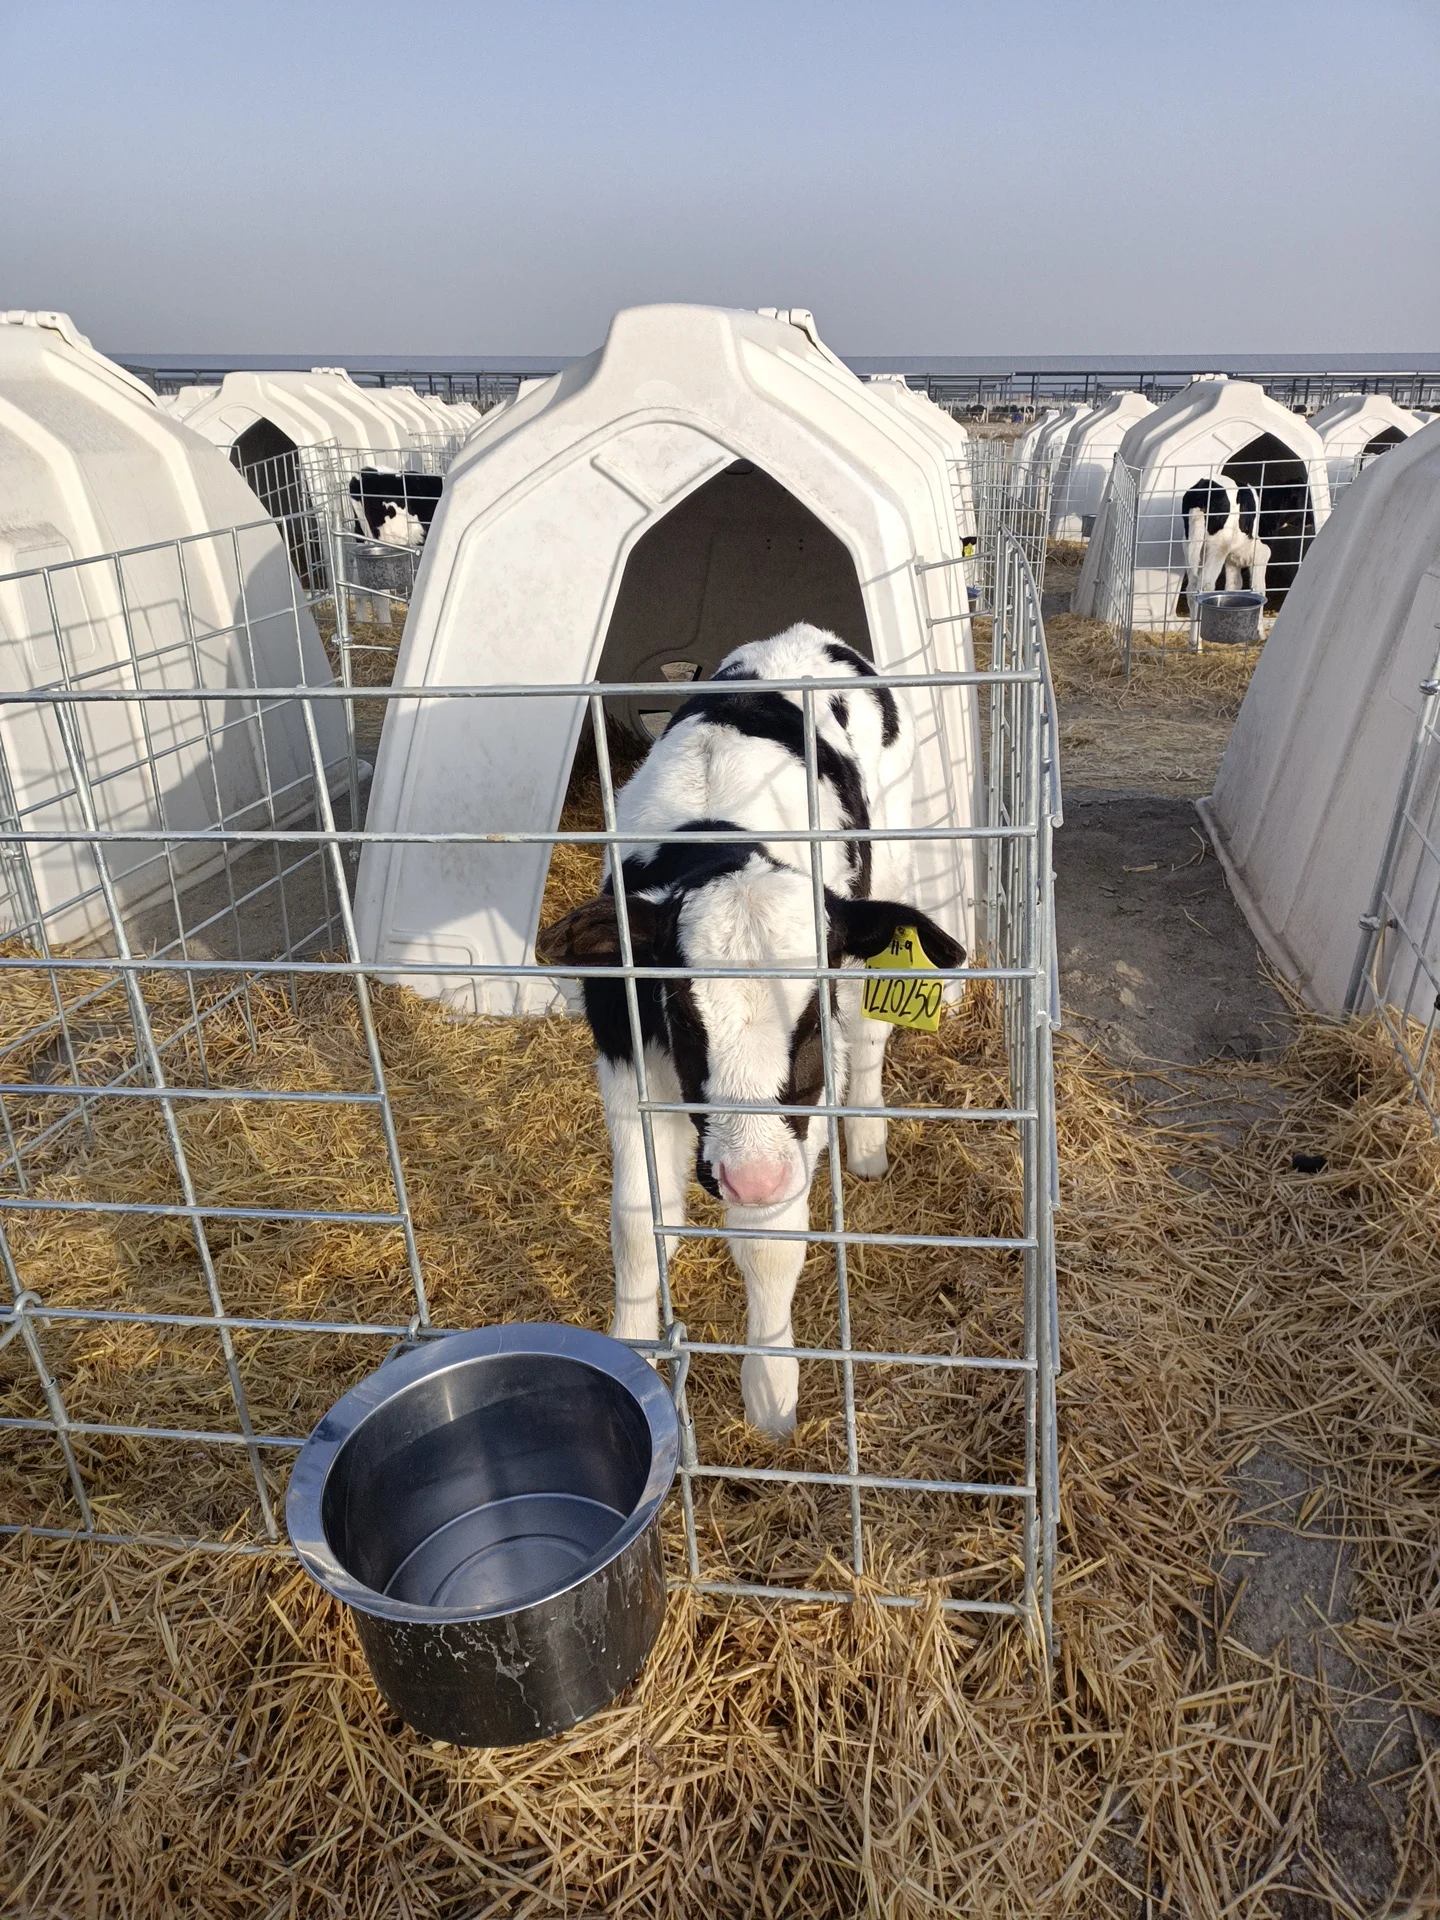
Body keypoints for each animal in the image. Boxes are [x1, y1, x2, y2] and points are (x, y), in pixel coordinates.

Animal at [534, 625, 963, 1437]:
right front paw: (632, 1346)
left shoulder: (800, 1114)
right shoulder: (624, 1051)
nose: (753, 1173)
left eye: (811, 1015)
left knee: (870, 1035)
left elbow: (768, 1241)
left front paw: (771, 1387)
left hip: (891, 874)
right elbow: (636, 1216)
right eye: (678, 1010)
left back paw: (868, 1142)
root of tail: (802, 636)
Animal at [1181, 475, 1270, 607]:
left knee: (1192, 587)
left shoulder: (1232, 561)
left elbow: (1233, 586)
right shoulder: (1261, 555)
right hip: (1218, 546)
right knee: (1205, 585)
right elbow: (1259, 589)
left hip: (1189, 544)